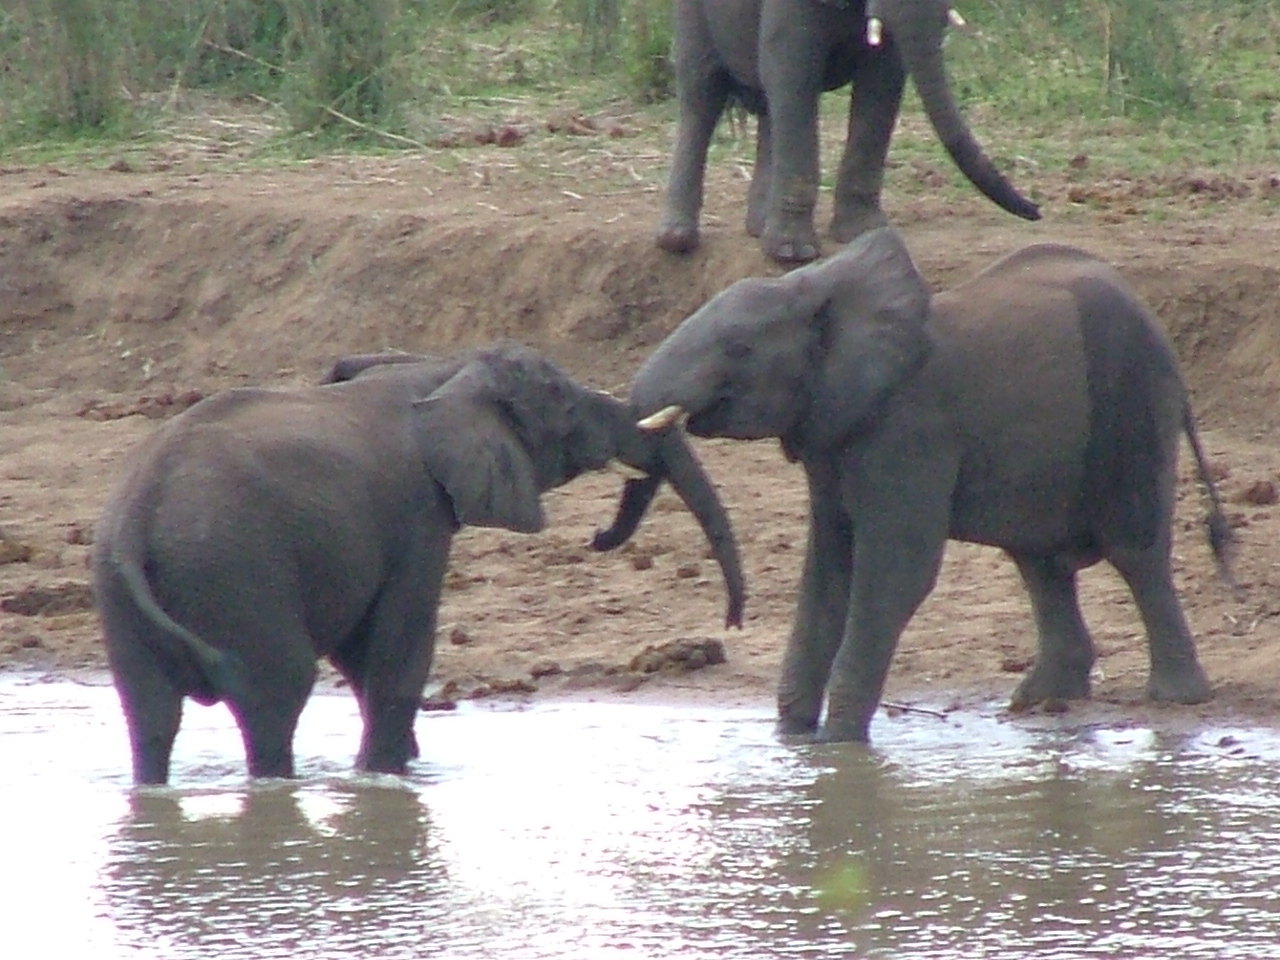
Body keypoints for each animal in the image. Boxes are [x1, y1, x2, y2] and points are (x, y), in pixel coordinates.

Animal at [93, 343, 745, 784]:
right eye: (564, 405)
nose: (597, 537)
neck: (443, 369)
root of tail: (137, 514)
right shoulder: (416, 510)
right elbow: (395, 648)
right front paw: (385, 778)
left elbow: (362, 654)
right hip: (237, 571)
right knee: (276, 693)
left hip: (126, 593)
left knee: (150, 713)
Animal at [600, 227, 1231, 742]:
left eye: (738, 348)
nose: (731, 621)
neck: (816, 290)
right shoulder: (831, 433)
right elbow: (829, 568)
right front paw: (795, 743)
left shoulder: (909, 430)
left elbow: (894, 572)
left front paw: (839, 746)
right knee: (1040, 562)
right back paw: (1040, 702)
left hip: (1133, 403)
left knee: (1135, 552)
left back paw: (1175, 700)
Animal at [657, 0, 1040, 264]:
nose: (1037, 210)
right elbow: (792, 74)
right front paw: (792, 255)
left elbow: (882, 82)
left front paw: (865, 233)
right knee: (701, 93)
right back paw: (677, 240)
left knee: (768, 107)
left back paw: (759, 227)